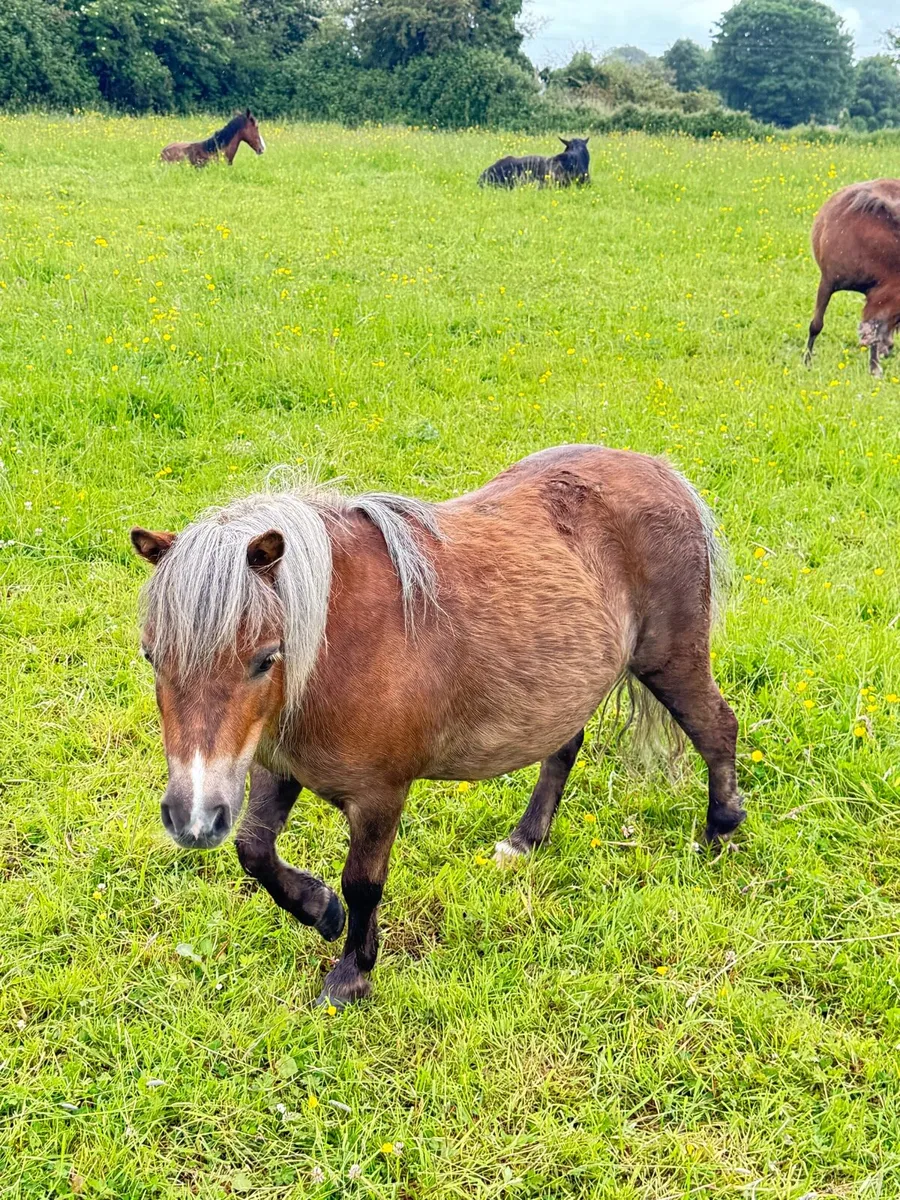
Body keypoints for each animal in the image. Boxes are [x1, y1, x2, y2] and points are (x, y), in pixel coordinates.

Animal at [131, 445, 744, 1008]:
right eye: (151, 656)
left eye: (265, 658)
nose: (192, 820)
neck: (336, 648)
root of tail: (662, 471)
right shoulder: (274, 770)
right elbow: (254, 849)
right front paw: (321, 911)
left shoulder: (380, 795)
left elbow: (362, 883)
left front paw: (351, 974)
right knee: (565, 747)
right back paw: (525, 840)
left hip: (671, 661)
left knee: (718, 728)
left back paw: (720, 830)